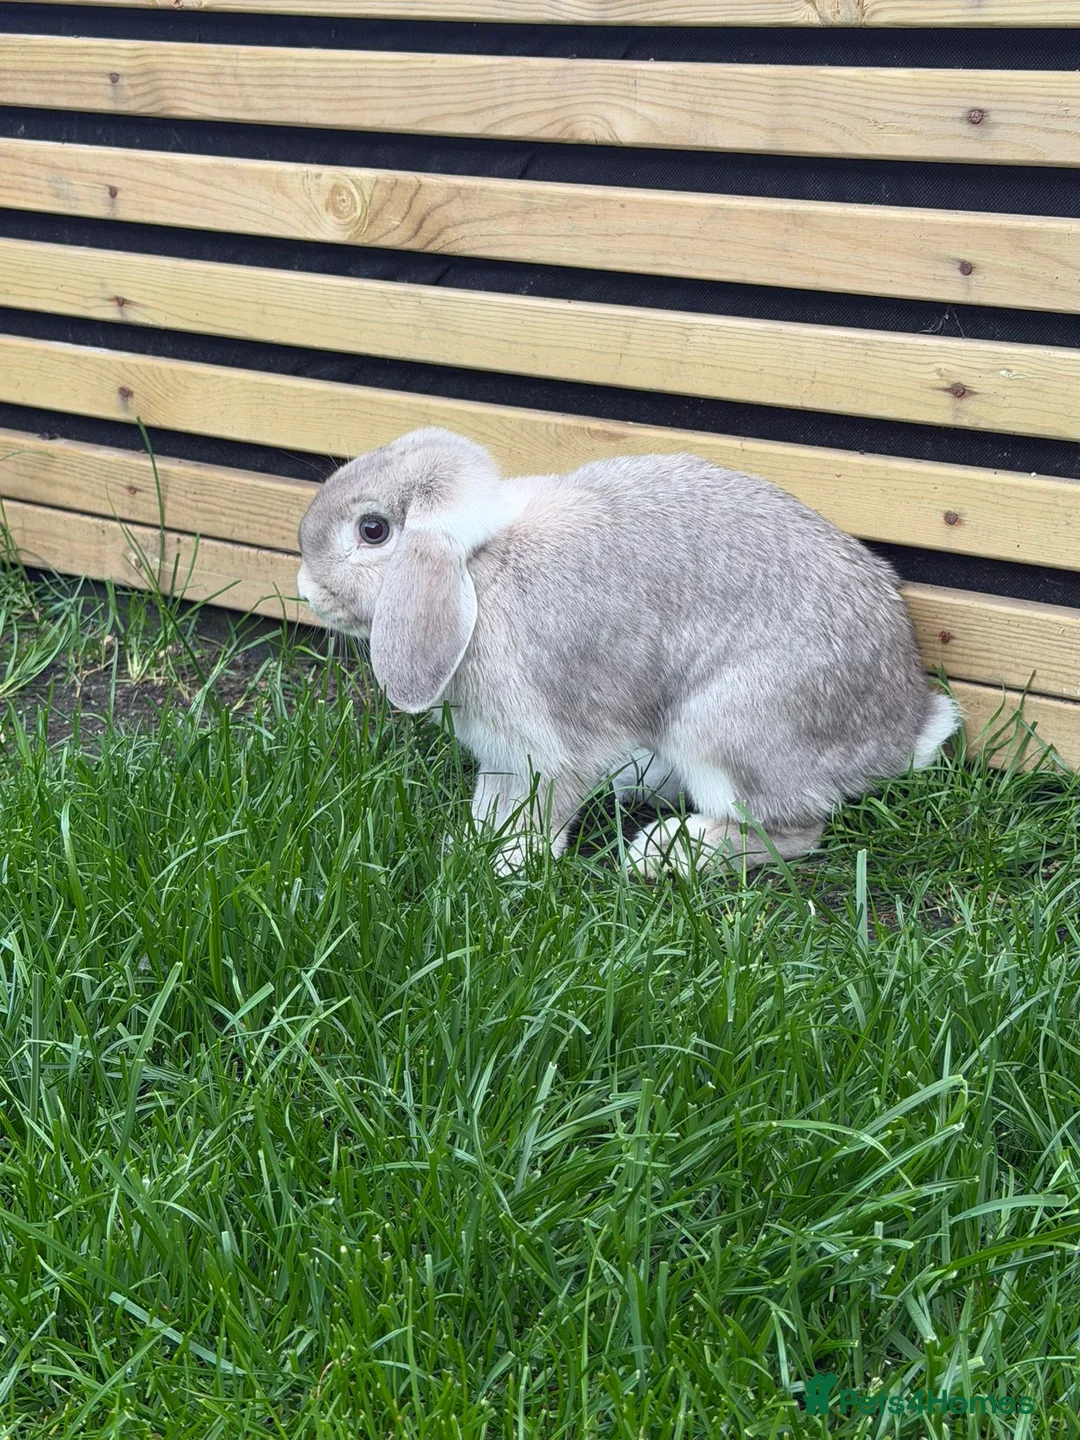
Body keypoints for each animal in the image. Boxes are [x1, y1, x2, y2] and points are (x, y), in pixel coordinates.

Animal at [296, 426, 960, 876]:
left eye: (373, 530)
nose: (305, 588)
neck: (477, 571)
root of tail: (905, 732)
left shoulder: (553, 746)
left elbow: (544, 808)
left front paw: (506, 863)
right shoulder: (502, 757)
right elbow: (494, 803)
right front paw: (472, 845)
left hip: (726, 728)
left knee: (795, 831)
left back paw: (664, 853)